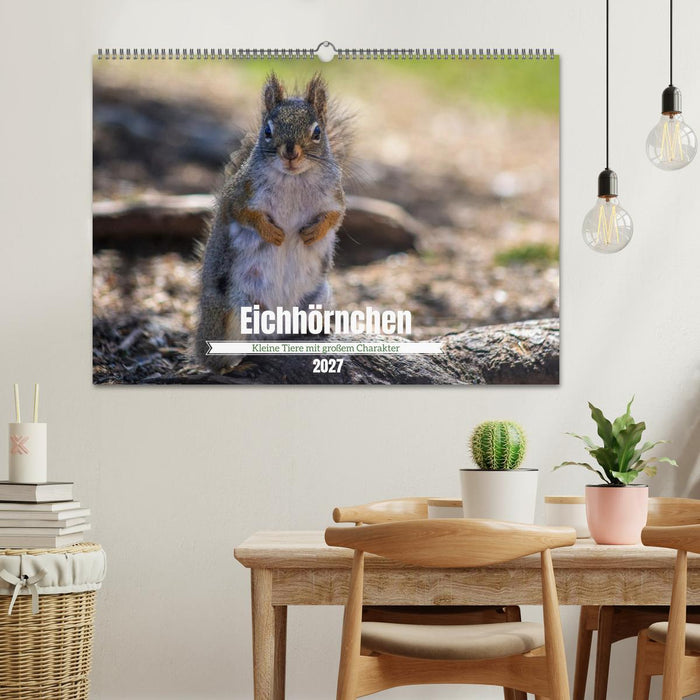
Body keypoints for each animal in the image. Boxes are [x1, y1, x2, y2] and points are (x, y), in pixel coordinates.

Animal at [195, 72, 353, 369]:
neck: (293, 178)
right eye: (267, 131)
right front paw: (273, 234)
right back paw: (235, 364)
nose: (291, 152)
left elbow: (335, 217)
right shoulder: (240, 195)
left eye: (317, 132)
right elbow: (245, 214)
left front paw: (313, 233)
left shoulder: (335, 198)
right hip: (234, 313)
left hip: (316, 302)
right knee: (222, 356)